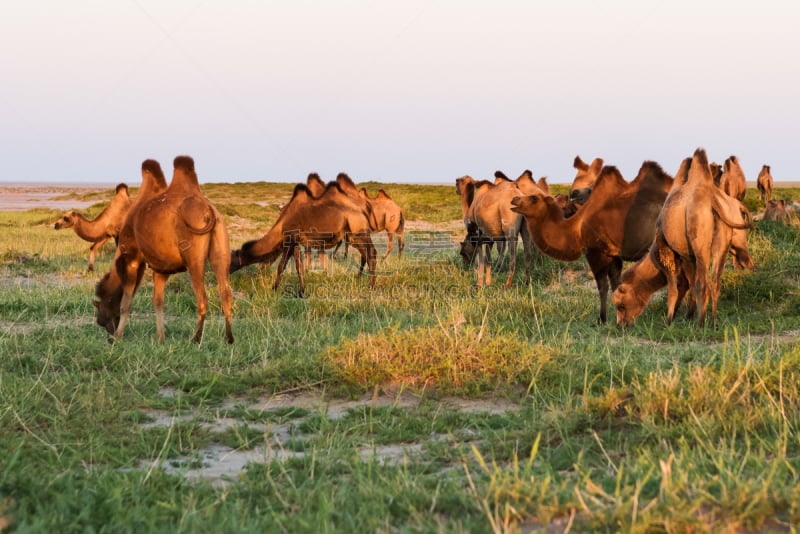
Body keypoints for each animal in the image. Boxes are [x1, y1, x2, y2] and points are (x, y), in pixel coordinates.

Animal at [93, 157, 233, 346]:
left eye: (101, 317)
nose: (109, 337)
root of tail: (208, 211)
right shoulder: (160, 268)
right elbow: (158, 301)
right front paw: (160, 338)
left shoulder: (131, 259)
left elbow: (125, 302)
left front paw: (120, 336)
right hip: (221, 244)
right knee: (226, 293)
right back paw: (229, 339)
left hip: (194, 255)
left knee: (202, 298)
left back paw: (196, 339)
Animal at [228, 182, 378, 296]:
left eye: (231, 261)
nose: (225, 272)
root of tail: (365, 208)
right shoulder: (295, 241)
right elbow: (298, 266)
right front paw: (301, 291)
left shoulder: (290, 238)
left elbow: (282, 266)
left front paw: (274, 289)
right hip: (353, 235)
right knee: (364, 254)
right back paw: (359, 278)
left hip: (359, 232)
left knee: (371, 253)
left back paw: (370, 287)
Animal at [512, 161, 676, 324]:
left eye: (534, 198)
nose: (514, 199)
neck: (576, 228)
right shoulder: (613, 255)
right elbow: (615, 283)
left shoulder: (595, 251)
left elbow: (602, 286)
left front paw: (601, 320)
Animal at [652, 149, 752, 328]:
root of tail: (714, 202)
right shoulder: (688, 255)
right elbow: (689, 283)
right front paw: (687, 315)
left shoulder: (665, 247)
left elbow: (674, 287)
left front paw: (669, 320)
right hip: (721, 243)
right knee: (715, 282)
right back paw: (712, 322)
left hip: (699, 242)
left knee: (702, 283)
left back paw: (700, 324)